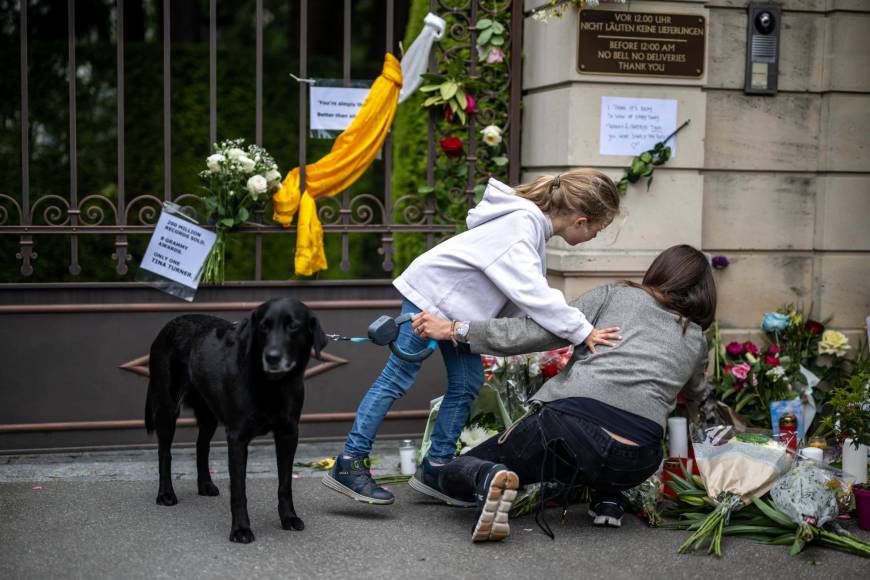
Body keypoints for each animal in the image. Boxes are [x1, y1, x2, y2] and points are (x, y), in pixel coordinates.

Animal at [147, 300, 330, 544]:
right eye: (263, 327)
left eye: (293, 326)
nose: (272, 357)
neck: (271, 384)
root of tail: (169, 324)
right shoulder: (237, 438)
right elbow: (239, 490)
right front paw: (241, 529)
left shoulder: (289, 434)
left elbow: (285, 484)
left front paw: (289, 517)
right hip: (168, 408)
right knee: (164, 452)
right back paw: (166, 493)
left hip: (209, 414)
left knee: (201, 446)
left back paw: (205, 485)